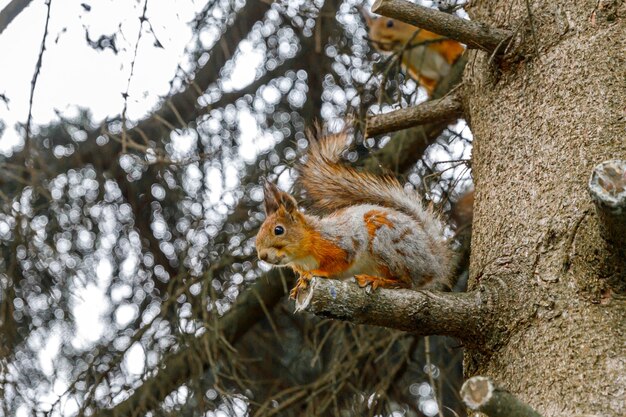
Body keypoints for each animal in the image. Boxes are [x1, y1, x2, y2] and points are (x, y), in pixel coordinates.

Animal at [256, 128, 450, 298]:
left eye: (279, 230)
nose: (262, 256)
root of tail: (434, 262)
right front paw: (299, 285)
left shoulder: (342, 244)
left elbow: (338, 263)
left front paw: (315, 272)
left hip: (388, 242)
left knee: (406, 281)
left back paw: (377, 280)